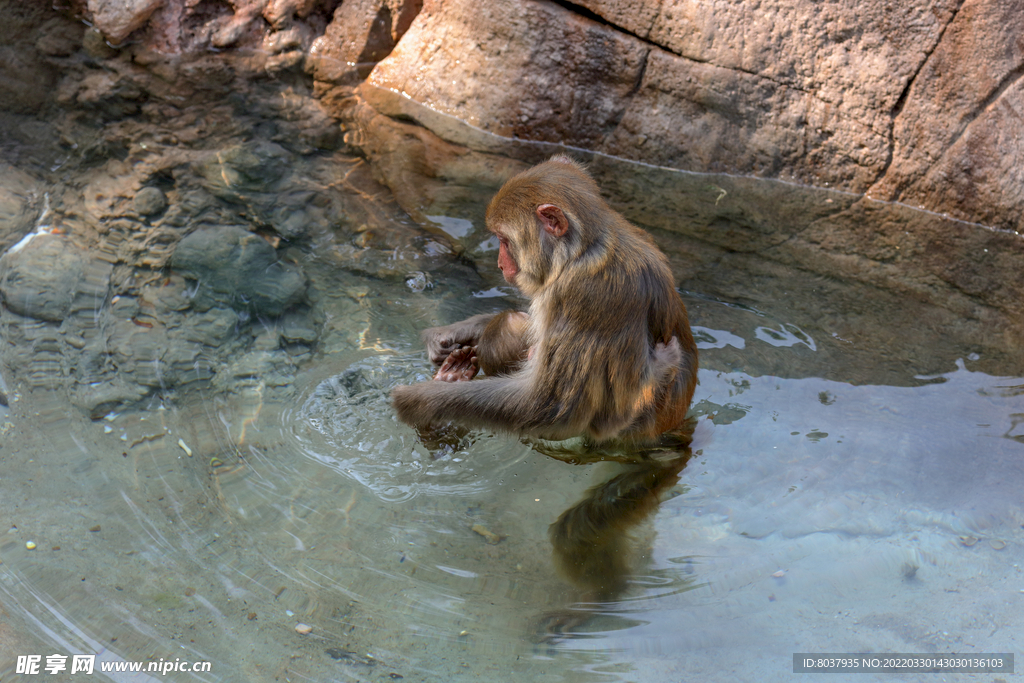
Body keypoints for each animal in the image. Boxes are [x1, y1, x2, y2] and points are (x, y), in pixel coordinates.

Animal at [389, 154, 696, 444]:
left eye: (504, 240)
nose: (500, 265)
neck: (580, 251)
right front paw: (448, 336)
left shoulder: (581, 294)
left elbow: (553, 409)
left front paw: (420, 400)